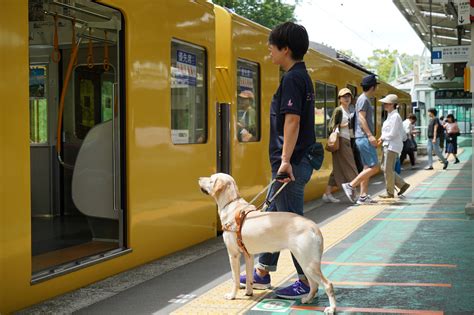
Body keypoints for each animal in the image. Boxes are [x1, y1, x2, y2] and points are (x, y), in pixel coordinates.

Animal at [198, 174, 336, 314]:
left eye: (211, 179)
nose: (198, 179)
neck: (231, 204)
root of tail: (314, 226)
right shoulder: (248, 255)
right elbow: (249, 277)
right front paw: (249, 293)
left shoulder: (233, 255)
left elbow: (235, 279)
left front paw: (232, 296)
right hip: (304, 261)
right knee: (314, 284)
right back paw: (307, 299)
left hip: (308, 263)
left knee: (327, 284)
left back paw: (331, 308)